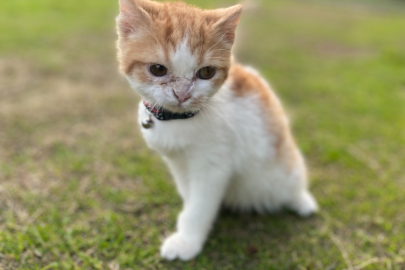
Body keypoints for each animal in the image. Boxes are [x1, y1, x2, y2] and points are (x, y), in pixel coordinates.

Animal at [115, 0, 318, 262]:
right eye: (157, 69)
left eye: (206, 72)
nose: (182, 94)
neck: (178, 120)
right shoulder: (178, 163)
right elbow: (190, 195)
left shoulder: (213, 164)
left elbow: (200, 204)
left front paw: (187, 241)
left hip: (287, 168)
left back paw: (302, 202)